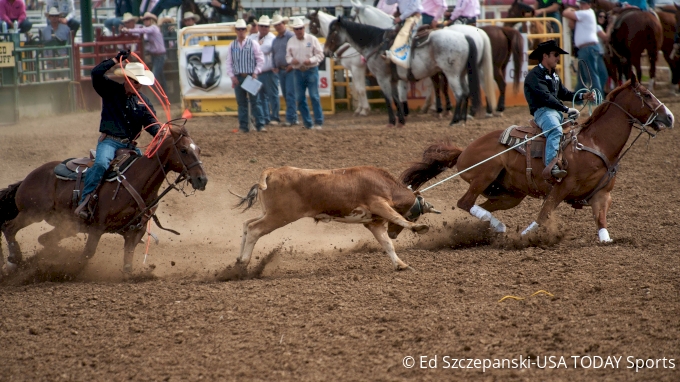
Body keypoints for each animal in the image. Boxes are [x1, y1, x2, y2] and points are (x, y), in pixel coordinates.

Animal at [0, 124, 207, 276]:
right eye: (183, 150)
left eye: (198, 149)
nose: (202, 179)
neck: (136, 180)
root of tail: (27, 178)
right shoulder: (97, 227)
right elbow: (86, 254)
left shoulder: (135, 232)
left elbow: (127, 262)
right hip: (32, 213)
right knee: (9, 227)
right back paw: (15, 261)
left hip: (65, 224)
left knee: (43, 238)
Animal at [402, 73, 672, 243]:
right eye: (647, 95)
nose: (669, 117)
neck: (595, 143)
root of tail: (464, 151)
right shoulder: (562, 186)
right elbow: (543, 215)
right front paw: (524, 237)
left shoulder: (602, 194)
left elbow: (601, 220)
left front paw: (607, 240)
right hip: (484, 175)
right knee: (465, 203)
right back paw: (500, 228)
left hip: (510, 194)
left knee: (481, 207)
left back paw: (494, 228)